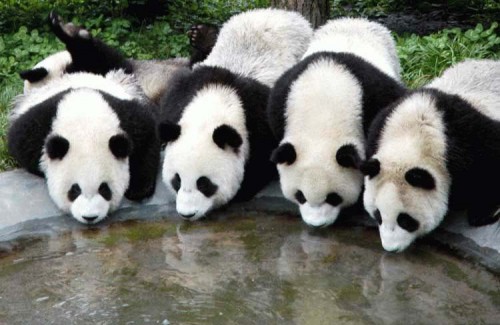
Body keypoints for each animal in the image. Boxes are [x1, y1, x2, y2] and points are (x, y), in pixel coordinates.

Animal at [7, 13, 162, 225]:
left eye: (104, 189)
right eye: (74, 190)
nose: (90, 217)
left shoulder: (127, 115)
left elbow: (148, 136)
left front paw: (138, 187)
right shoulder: (36, 127)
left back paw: (68, 30)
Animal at [158, 8, 312, 220]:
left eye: (204, 183)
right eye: (177, 180)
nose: (187, 214)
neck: (216, 101)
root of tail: (279, 12)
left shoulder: (259, 118)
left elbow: (263, 162)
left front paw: (240, 190)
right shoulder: (182, 93)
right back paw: (203, 36)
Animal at [268, 17, 404, 225]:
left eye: (333, 197)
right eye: (300, 195)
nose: (316, 223)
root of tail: (353, 20)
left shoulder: (373, 97)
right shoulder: (282, 100)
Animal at [362, 58, 500, 251]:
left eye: (405, 220)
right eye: (378, 215)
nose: (391, 248)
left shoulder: (470, 141)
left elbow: (489, 167)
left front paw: (484, 212)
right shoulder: (381, 127)